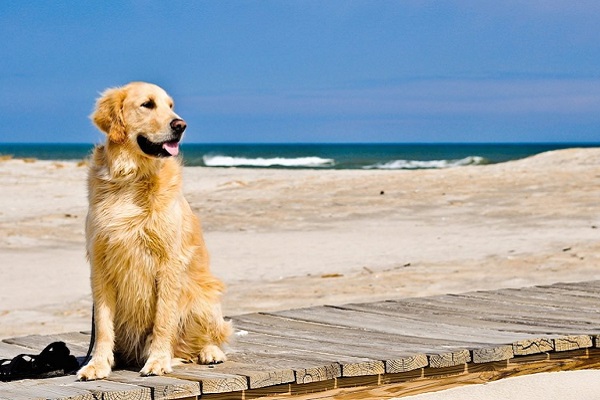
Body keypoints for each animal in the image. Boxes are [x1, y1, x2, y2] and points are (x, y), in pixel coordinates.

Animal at [77, 82, 232, 382]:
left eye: (170, 106)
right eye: (147, 104)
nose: (180, 125)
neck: (130, 178)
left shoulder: (169, 263)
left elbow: (163, 319)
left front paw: (158, 361)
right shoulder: (100, 264)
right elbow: (102, 324)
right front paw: (98, 364)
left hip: (203, 296)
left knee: (207, 336)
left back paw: (210, 352)